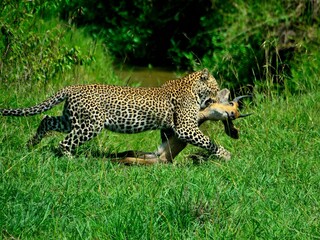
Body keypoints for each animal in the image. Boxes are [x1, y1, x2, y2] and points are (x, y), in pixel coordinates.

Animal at [0, 68, 231, 159]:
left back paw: (31, 144)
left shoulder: (170, 127)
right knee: (63, 142)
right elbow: (209, 141)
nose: (218, 96)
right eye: (214, 86)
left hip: (71, 119)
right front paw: (225, 154)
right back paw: (71, 160)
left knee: (46, 120)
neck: (192, 88)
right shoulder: (185, 128)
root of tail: (73, 87)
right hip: (90, 124)